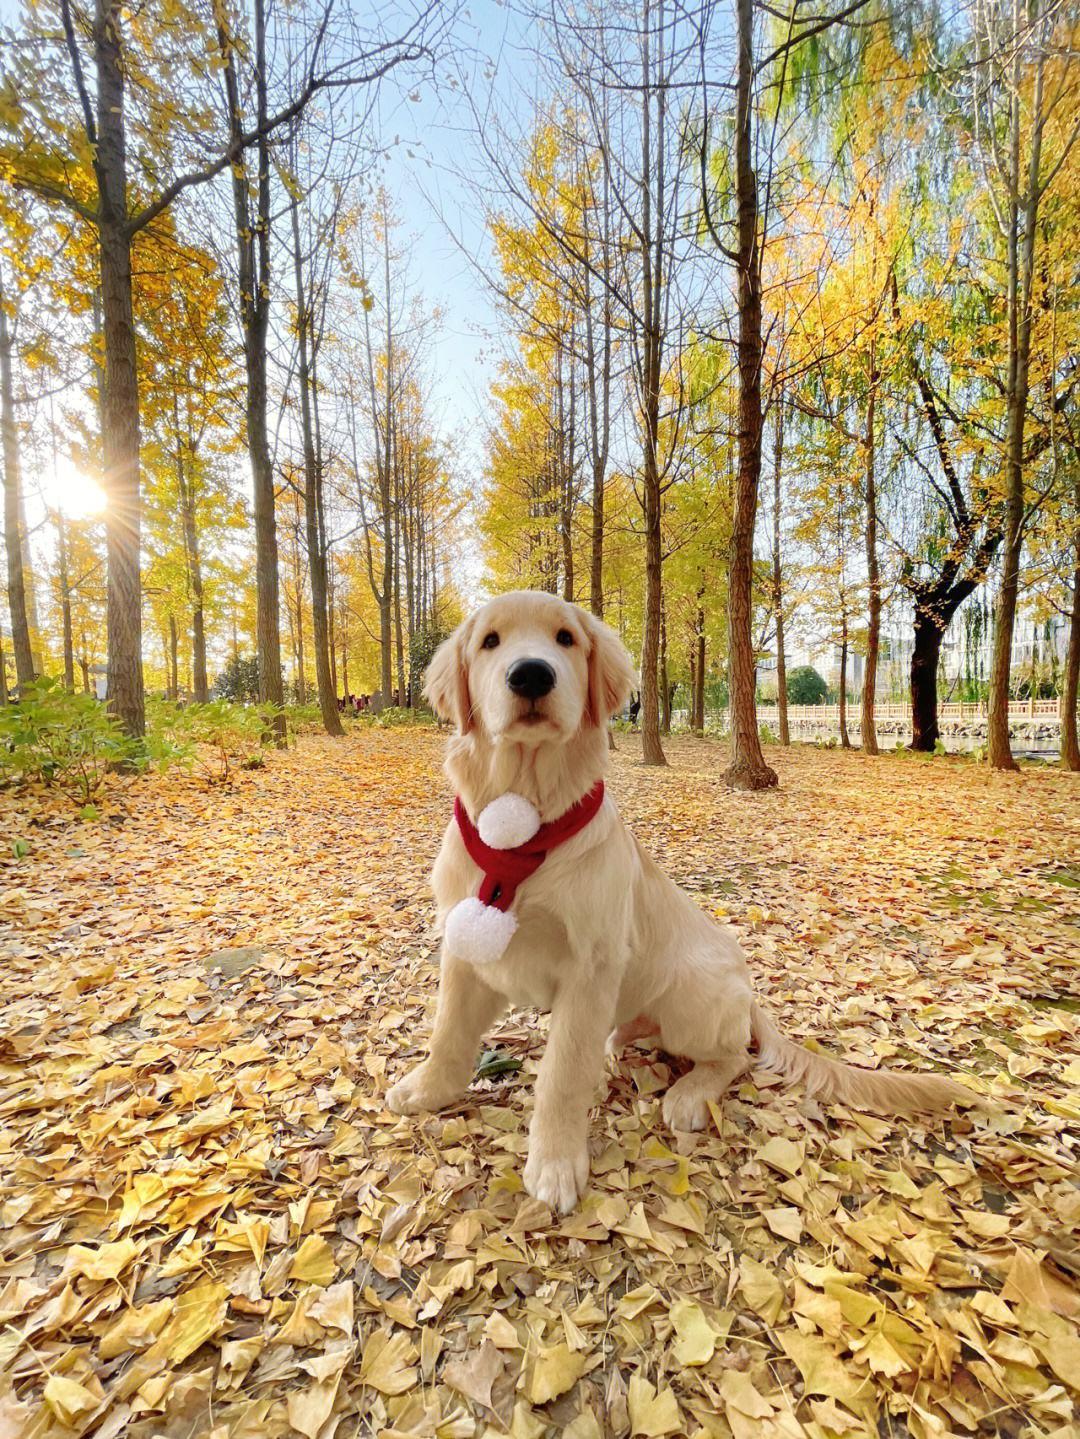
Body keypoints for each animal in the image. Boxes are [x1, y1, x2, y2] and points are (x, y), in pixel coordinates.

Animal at [385, 589, 972, 1208]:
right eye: (490, 641)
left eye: (565, 638)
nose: (531, 674)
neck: (522, 827)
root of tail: (747, 993)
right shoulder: (464, 945)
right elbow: (448, 1033)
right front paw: (427, 1091)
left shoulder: (589, 965)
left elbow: (563, 1072)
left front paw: (555, 1162)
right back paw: (622, 1038)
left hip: (694, 992)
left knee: (733, 1055)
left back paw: (689, 1094)